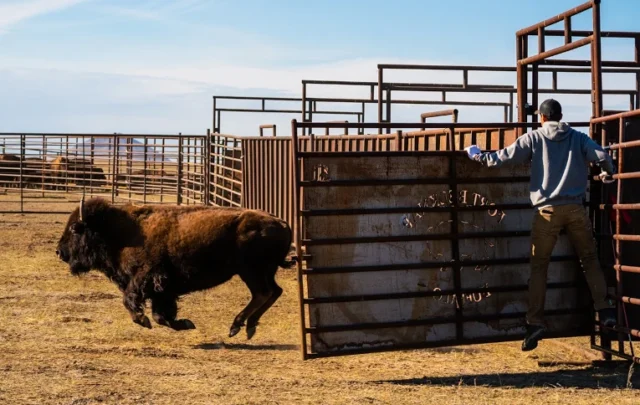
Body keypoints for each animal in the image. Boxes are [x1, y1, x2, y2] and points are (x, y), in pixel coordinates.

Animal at [56, 196, 294, 338]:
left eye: (75, 228)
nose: (59, 252)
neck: (119, 231)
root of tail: (282, 223)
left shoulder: (147, 279)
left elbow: (132, 302)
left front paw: (143, 320)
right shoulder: (163, 290)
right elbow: (161, 315)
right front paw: (185, 323)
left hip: (251, 272)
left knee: (263, 293)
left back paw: (237, 326)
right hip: (260, 272)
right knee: (273, 292)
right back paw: (248, 326)